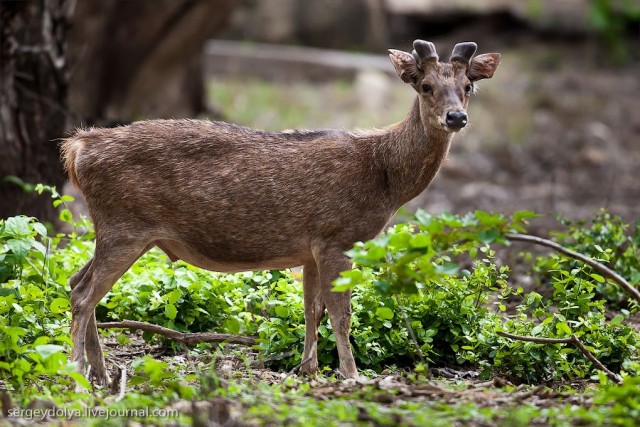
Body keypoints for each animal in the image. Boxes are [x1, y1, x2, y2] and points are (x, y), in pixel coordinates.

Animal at [60, 40, 500, 386]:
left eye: (468, 87)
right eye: (425, 86)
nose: (456, 117)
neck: (385, 178)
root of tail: (78, 149)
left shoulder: (310, 249)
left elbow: (311, 310)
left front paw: (309, 370)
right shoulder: (338, 236)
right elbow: (341, 314)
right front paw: (351, 375)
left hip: (119, 229)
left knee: (75, 280)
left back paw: (101, 373)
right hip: (125, 225)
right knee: (83, 294)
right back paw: (76, 372)